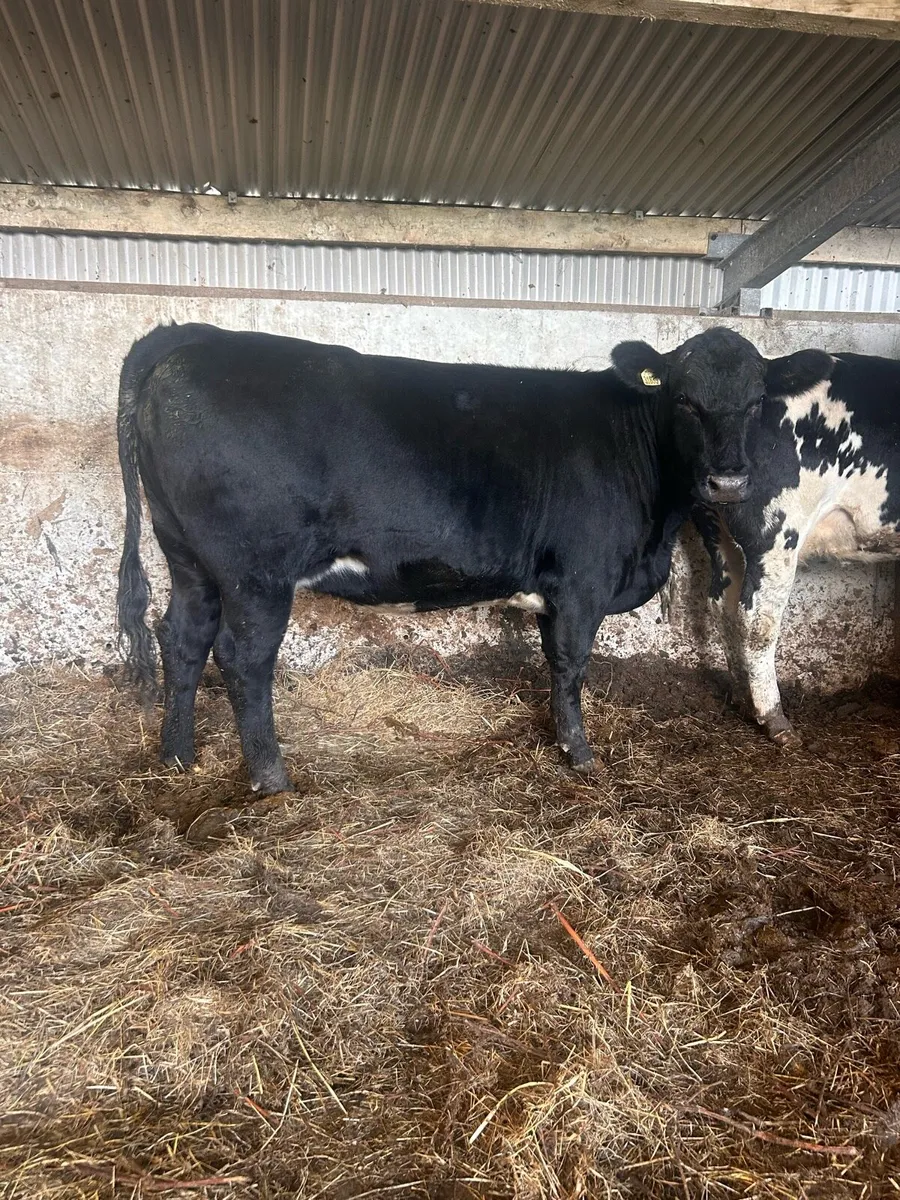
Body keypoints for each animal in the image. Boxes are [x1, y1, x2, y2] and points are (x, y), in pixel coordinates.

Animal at [116, 322, 769, 795]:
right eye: (684, 399)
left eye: (758, 402)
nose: (729, 482)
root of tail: (192, 337)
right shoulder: (583, 582)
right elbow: (571, 664)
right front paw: (580, 754)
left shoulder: (555, 590)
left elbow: (553, 661)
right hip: (255, 570)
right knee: (242, 656)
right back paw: (272, 778)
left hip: (187, 556)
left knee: (183, 637)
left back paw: (177, 757)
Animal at [696, 347, 900, 747]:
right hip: (777, 533)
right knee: (758, 619)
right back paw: (775, 719)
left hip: (716, 528)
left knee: (722, 603)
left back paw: (742, 697)